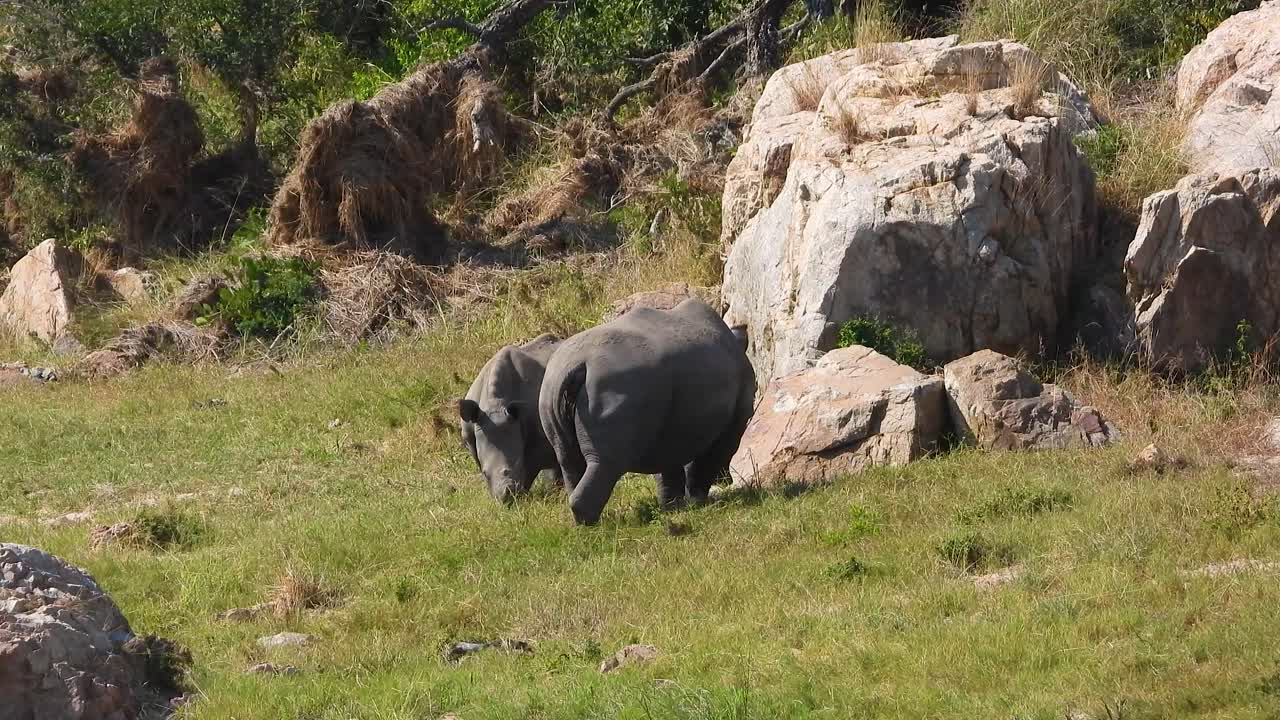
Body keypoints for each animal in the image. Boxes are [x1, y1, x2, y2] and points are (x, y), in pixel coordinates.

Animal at [539, 298, 756, 525]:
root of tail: (576, 364)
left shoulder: (670, 419)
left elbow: (669, 463)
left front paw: (674, 508)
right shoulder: (732, 421)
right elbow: (710, 458)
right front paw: (698, 502)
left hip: (551, 386)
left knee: (567, 457)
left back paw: (581, 521)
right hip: (617, 384)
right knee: (605, 462)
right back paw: (591, 524)